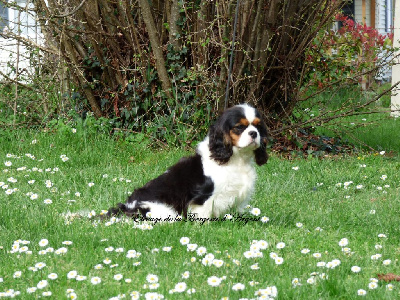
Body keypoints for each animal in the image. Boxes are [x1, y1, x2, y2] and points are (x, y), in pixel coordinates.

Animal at [104, 104, 268, 219]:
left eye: (258, 126)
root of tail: (127, 207)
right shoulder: (204, 197)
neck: (237, 158)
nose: (254, 133)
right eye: (239, 127)